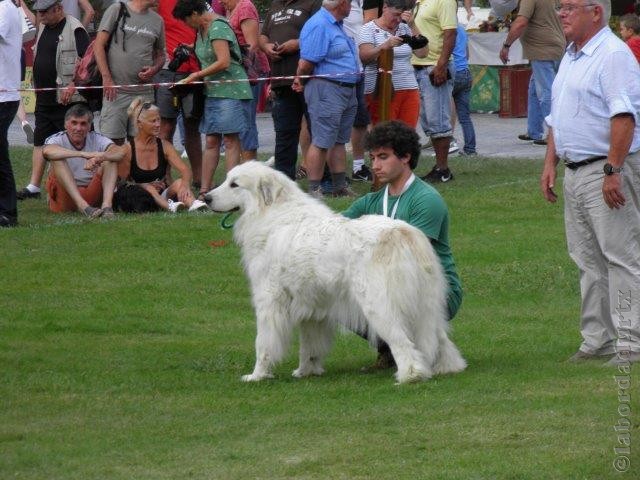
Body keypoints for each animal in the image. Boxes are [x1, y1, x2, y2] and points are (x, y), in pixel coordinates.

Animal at [205, 163, 464, 384]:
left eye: (234, 184)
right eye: (226, 180)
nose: (206, 197)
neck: (273, 215)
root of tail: (402, 233)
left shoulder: (268, 301)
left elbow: (264, 344)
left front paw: (257, 375)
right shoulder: (312, 307)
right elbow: (309, 346)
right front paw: (306, 371)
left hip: (379, 308)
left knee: (402, 343)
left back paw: (410, 375)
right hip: (427, 305)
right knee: (439, 338)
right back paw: (449, 367)